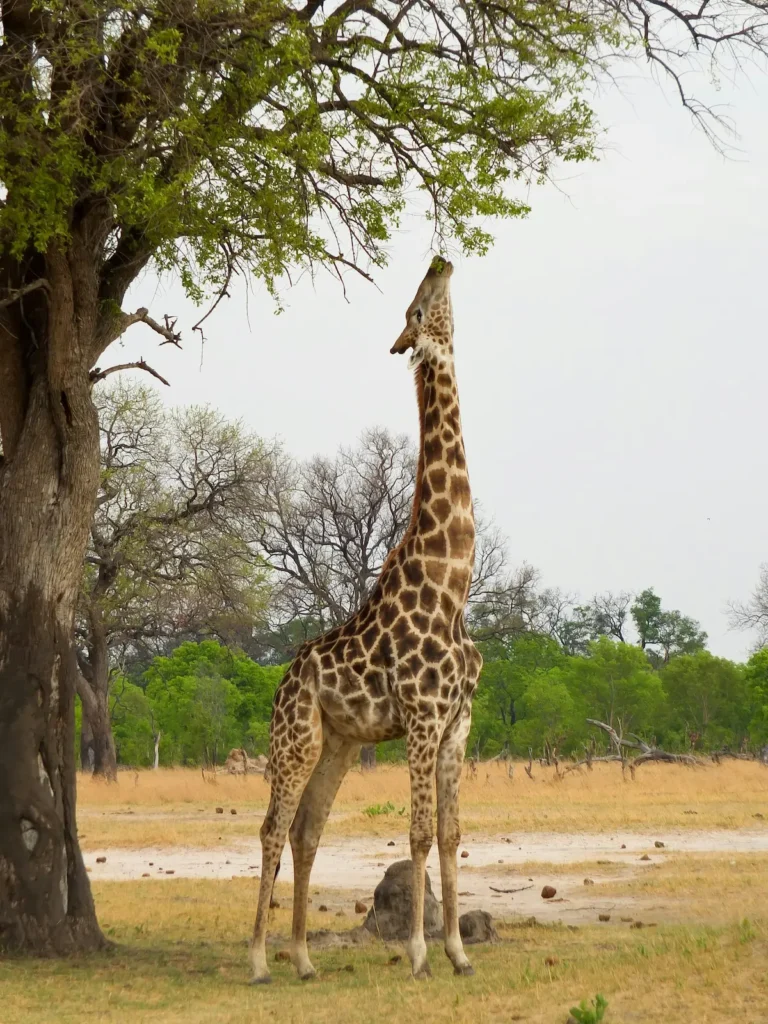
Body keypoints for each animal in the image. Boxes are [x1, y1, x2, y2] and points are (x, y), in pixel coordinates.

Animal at [249, 256, 483, 984]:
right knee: (273, 827)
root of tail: (282, 681)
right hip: (295, 737)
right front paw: (418, 954)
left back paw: (302, 959)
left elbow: (452, 833)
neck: (452, 584)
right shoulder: (422, 717)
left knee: (307, 830)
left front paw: (459, 952)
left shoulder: (459, 722)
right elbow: (418, 833)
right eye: (415, 309)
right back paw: (258, 959)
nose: (440, 259)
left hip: (339, 743)